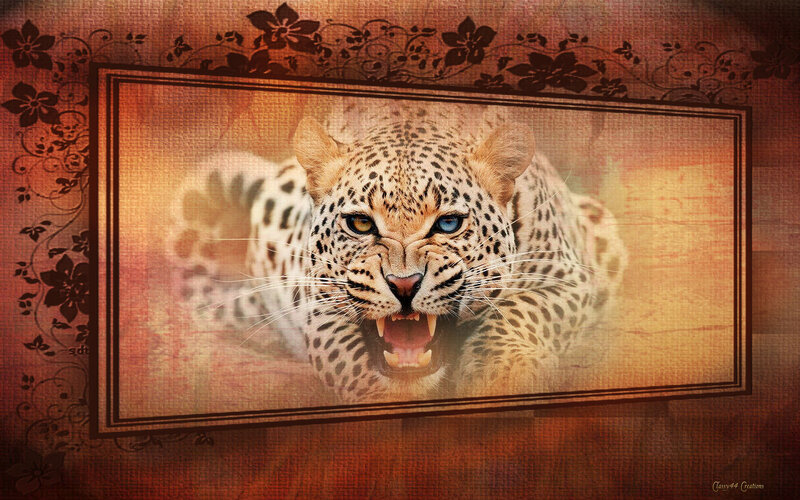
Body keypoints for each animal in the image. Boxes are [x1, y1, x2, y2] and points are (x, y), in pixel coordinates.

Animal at [172, 100, 627, 403]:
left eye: (448, 224)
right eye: (360, 224)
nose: (404, 285)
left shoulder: (569, 276)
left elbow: (520, 312)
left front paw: (500, 375)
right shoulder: (319, 305)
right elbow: (349, 356)